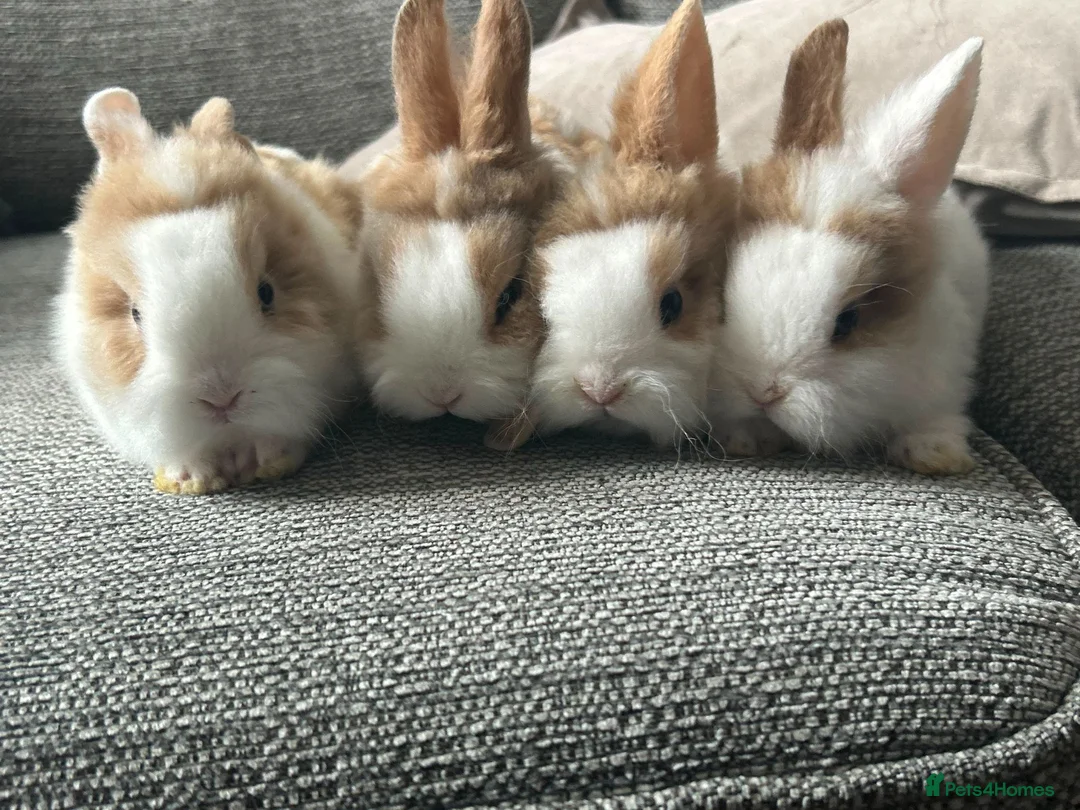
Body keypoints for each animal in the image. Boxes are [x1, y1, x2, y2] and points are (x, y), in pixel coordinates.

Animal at [707, 20, 990, 475]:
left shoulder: (946, 374)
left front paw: (934, 455)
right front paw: (746, 438)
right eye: (724, 298)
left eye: (848, 321)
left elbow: (936, 418)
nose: (763, 392)